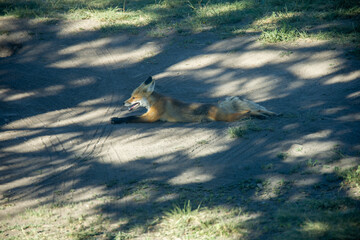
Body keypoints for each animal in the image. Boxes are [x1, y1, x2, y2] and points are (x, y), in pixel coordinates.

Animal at [111, 76, 278, 124]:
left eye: (133, 97)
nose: (123, 102)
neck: (155, 102)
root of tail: (219, 104)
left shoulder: (151, 117)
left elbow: (131, 117)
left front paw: (116, 119)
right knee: (252, 110)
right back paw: (265, 114)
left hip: (224, 117)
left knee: (248, 111)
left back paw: (260, 116)